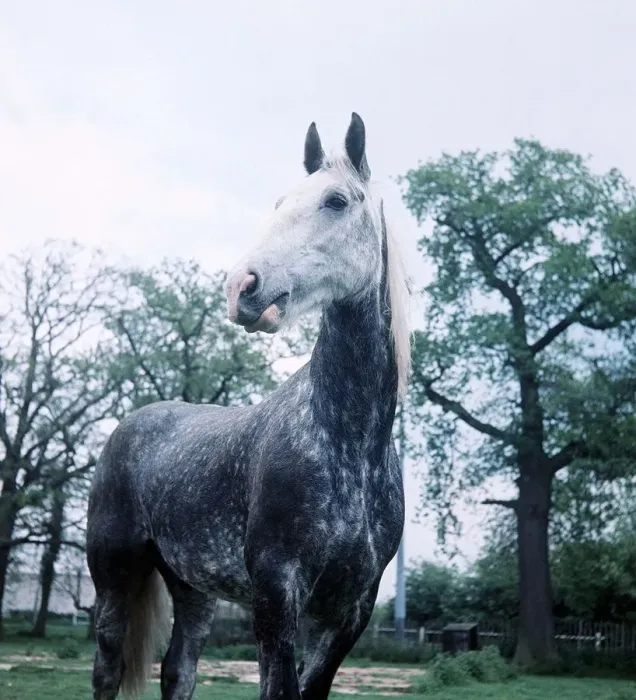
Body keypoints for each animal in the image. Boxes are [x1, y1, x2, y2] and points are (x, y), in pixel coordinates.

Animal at [86, 112, 409, 700]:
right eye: (280, 203)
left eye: (335, 201)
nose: (243, 286)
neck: (347, 446)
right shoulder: (277, 591)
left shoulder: (351, 609)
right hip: (114, 577)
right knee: (106, 670)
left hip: (192, 587)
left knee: (178, 671)